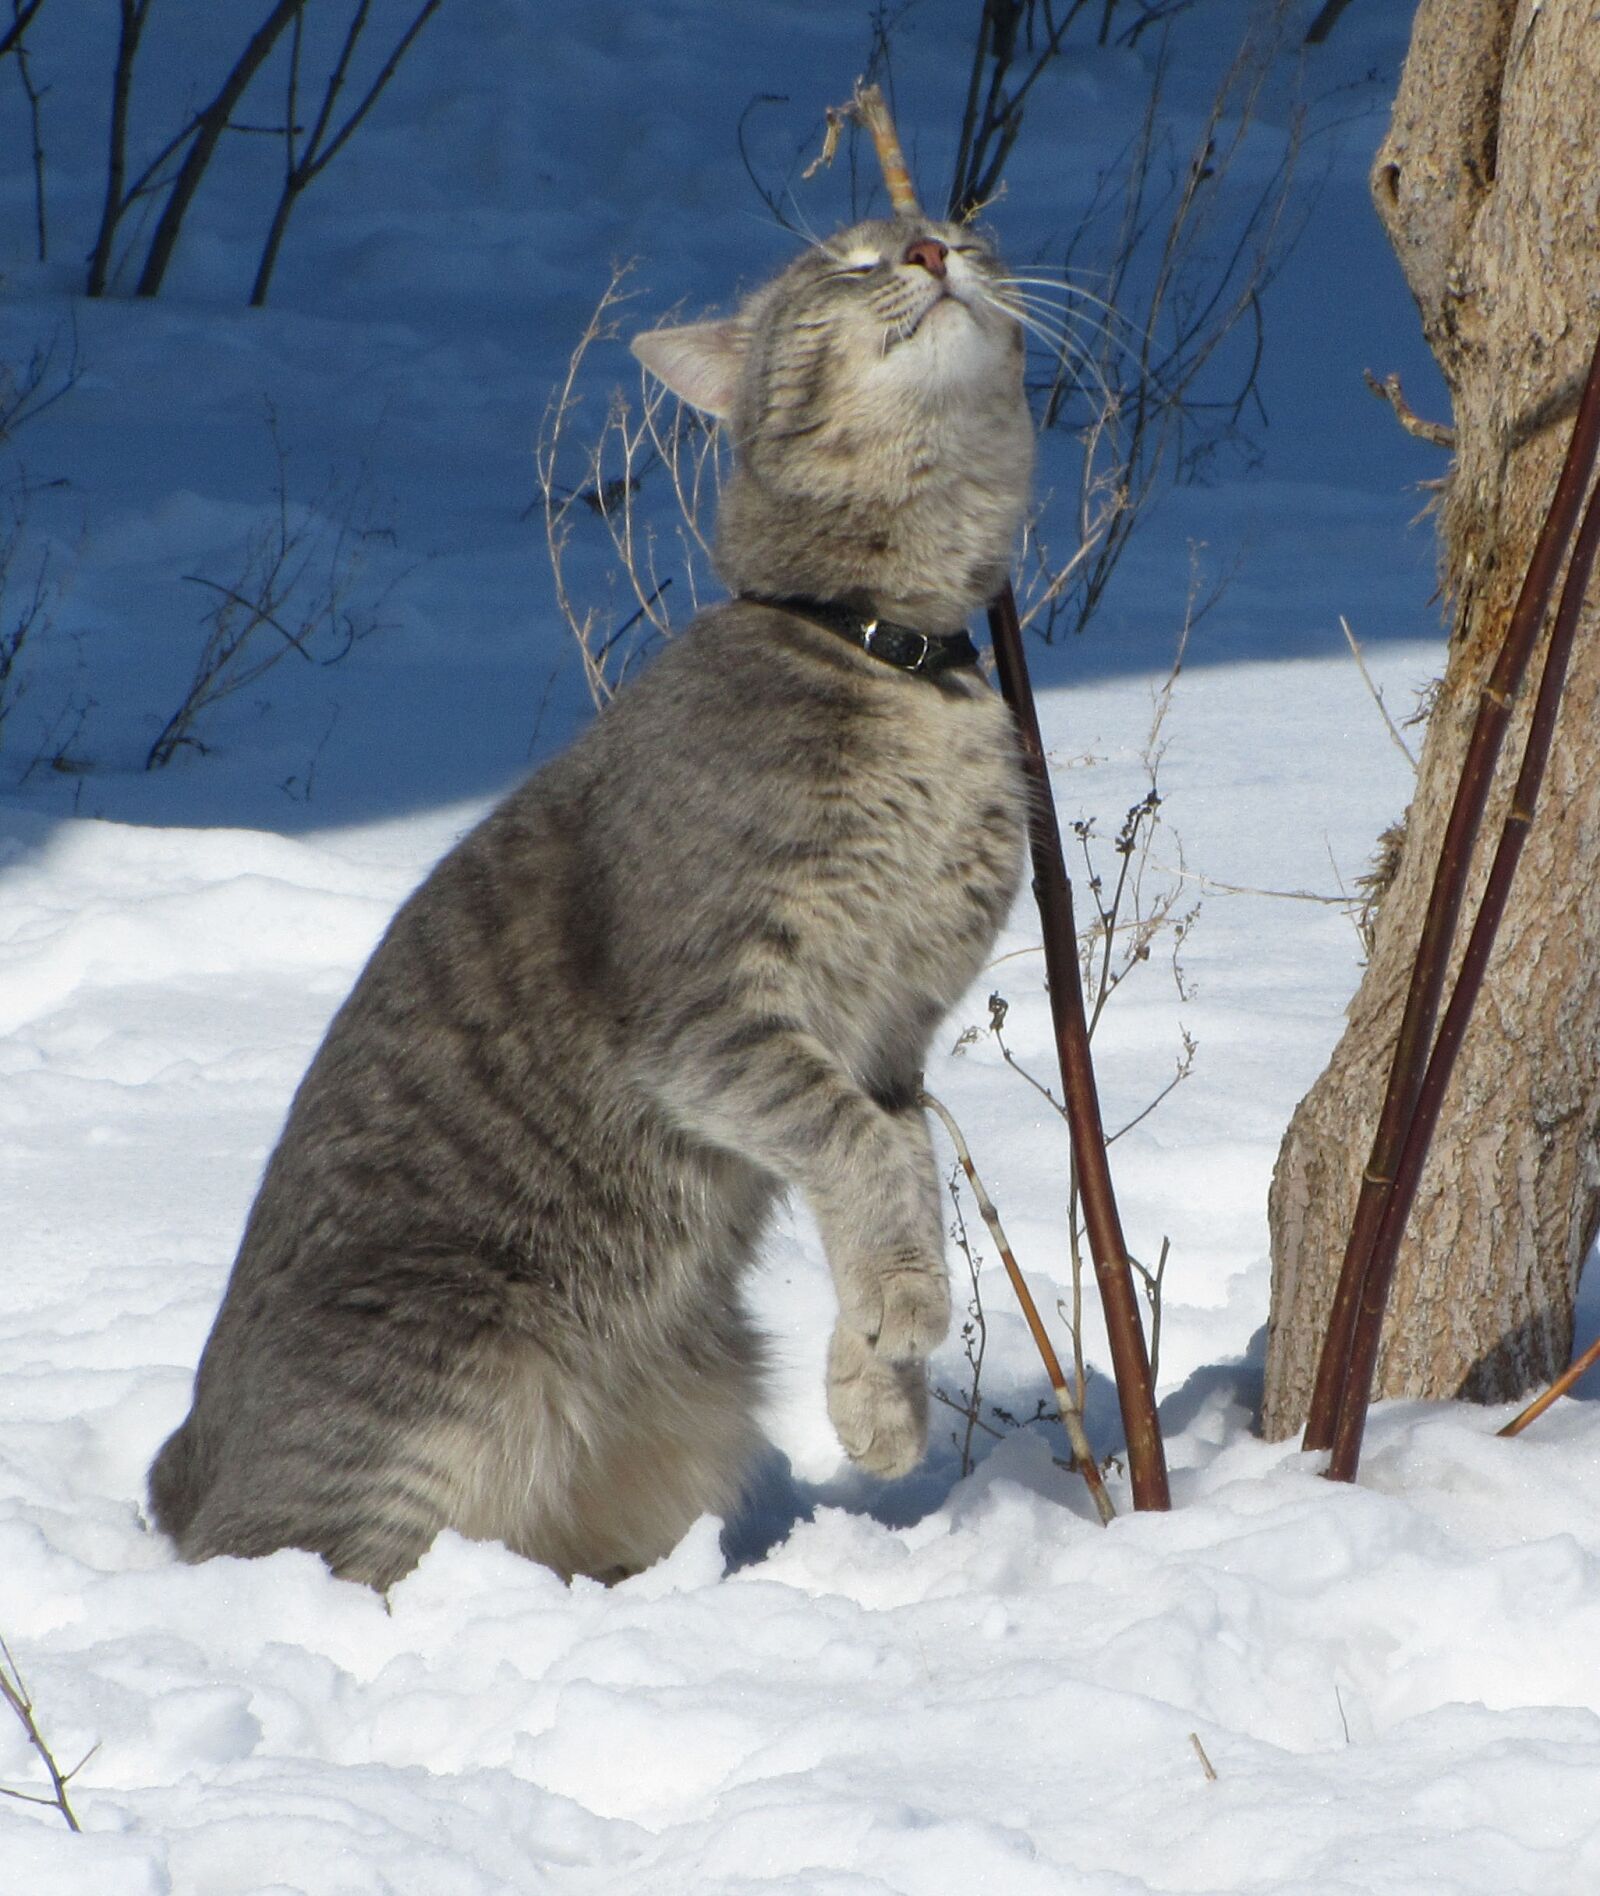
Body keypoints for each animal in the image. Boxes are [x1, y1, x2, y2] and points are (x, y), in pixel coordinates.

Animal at [144, 215, 1031, 1592]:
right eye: (848, 260)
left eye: (959, 226)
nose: (933, 246)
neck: (896, 660)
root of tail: (183, 1462)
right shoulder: (710, 1018)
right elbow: (866, 1153)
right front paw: (905, 1317)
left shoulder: (892, 1038)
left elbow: (900, 1167)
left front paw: (876, 1388)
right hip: (436, 1382)